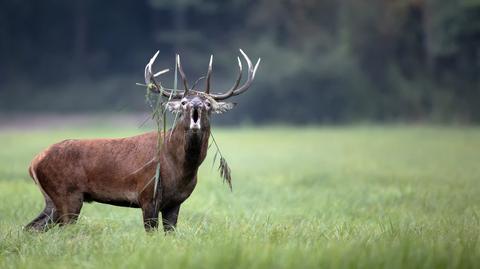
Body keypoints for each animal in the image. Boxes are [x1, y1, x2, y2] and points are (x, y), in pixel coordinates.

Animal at [24, 49, 260, 230]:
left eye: (209, 103)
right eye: (183, 102)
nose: (196, 104)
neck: (180, 168)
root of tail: (34, 162)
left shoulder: (175, 203)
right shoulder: (147, 195)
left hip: (52, 199)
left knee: (32, 227)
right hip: (67, 194)